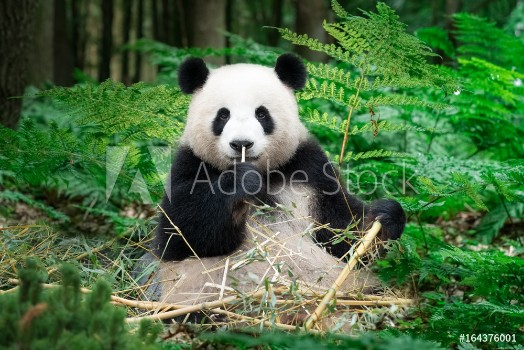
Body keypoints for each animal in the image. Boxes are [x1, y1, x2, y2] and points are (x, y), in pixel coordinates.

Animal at [147, 52, 406, 308]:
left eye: (261, 114)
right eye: (223, 115)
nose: (241, 144)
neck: (264, 173)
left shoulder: (307, 168)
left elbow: (340, 231)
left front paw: (384, 217)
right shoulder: (190, 163)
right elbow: (181, 233)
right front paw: (240, 182)